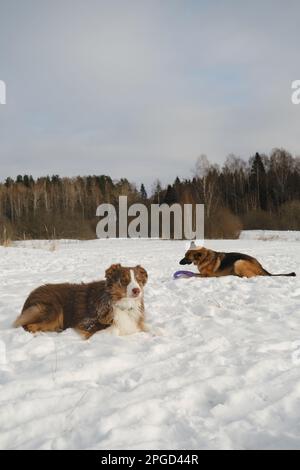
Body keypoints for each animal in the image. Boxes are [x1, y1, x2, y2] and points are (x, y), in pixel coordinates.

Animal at [13, 264, 149, 338]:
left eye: (138, 280)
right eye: (124, 280)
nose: (137, 291)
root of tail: (30, 295)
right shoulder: (85, 325)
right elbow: (113, 329)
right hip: (54, 310)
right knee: (29, 326)